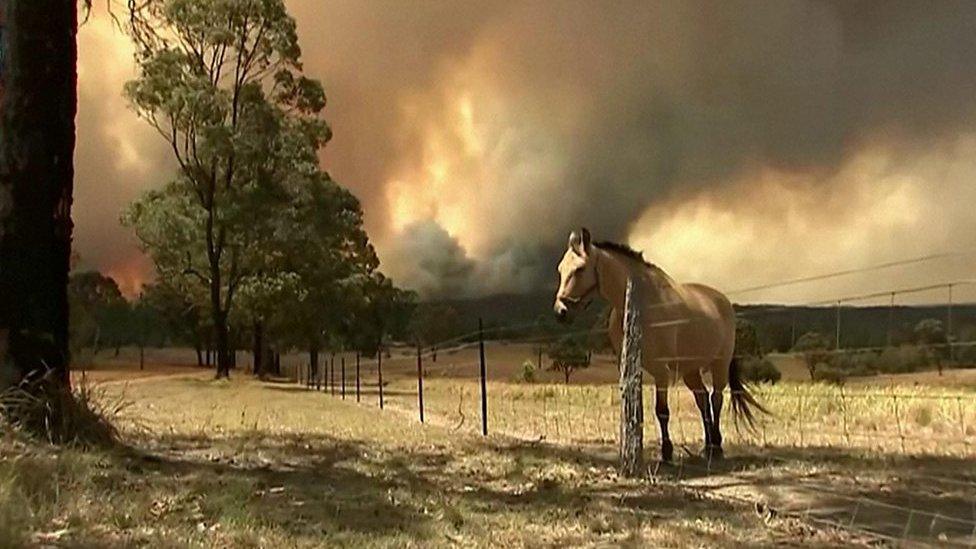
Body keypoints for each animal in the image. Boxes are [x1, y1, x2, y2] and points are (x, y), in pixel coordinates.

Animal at [552, 225, 768, 460]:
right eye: (561, 269)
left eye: (580, 269)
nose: (560, 312)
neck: (642, 305)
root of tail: (723, 301)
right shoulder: (632, 368)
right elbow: (636, 411)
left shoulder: (661, 371)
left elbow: (662, 411)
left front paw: (666, 451)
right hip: (690, 370)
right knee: (702, 400)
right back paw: (707, 445)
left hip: (719, 365)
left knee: (716, 400)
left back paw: (716, 447)